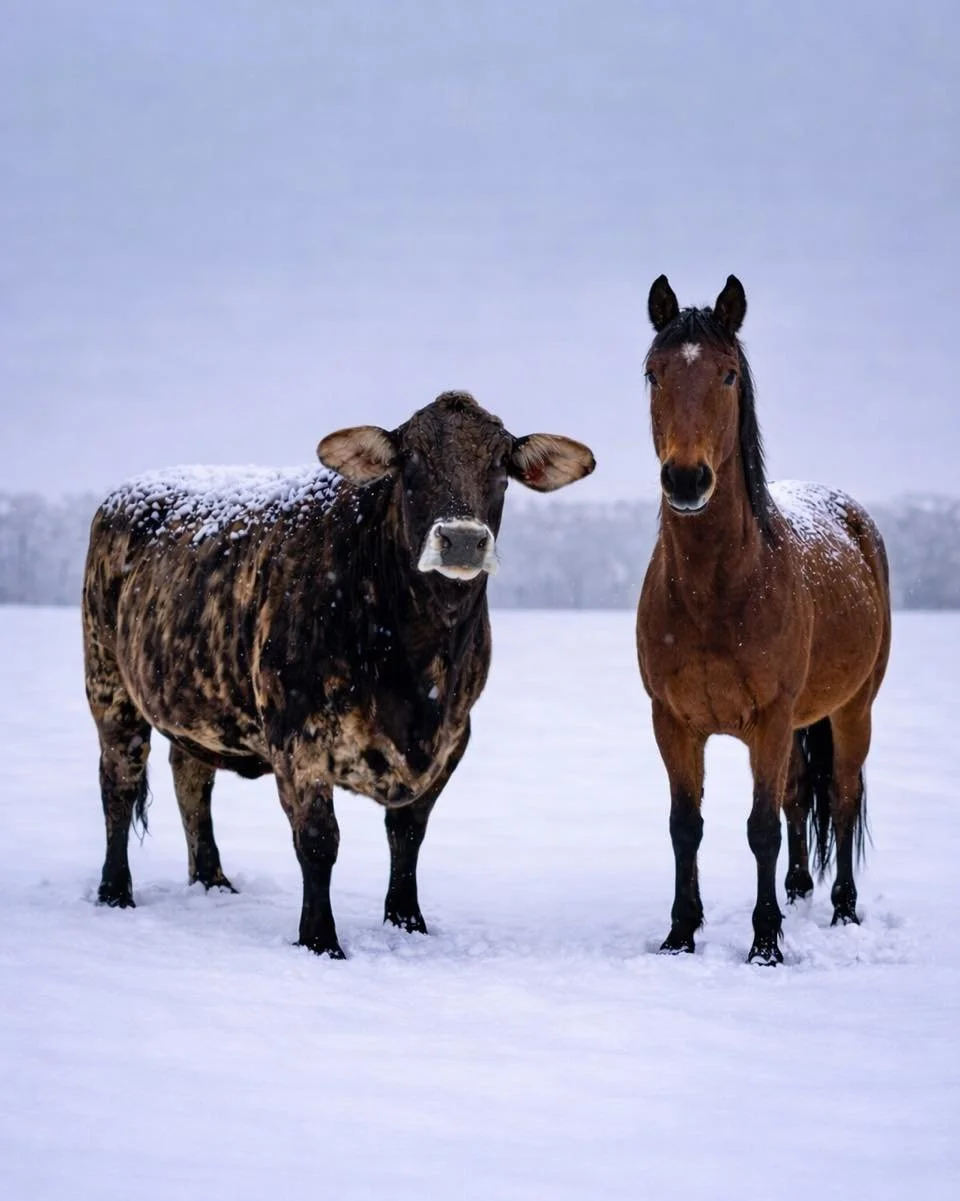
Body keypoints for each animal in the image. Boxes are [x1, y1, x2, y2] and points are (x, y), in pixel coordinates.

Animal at [82, 390, 595, 957]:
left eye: (501, 467)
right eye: (410, 464)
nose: (462, 540)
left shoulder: (453, 736)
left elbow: (408, 833)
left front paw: (407, 923)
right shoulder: (296, 735)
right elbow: (318, 840)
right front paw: (320, 940)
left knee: (191, 778)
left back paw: (212, 882)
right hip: (108, 681)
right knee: (119, 782)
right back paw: (115, 891)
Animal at [635, 275, 891, 964]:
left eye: (727, 374)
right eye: (652, 374)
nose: (686, 479)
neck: (716, 592)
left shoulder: (771, 721)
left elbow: (760, 829)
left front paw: (766, 944)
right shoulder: (673, 723)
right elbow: (684, 826)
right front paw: (679, 935)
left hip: (852, 709)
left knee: (841, 797)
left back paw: (843, 910)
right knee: (800, 794)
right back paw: (799, 890)